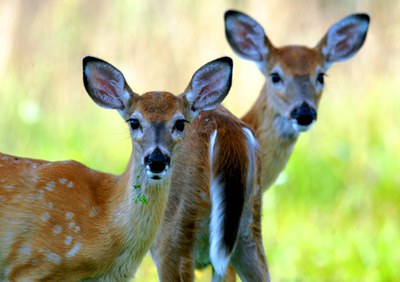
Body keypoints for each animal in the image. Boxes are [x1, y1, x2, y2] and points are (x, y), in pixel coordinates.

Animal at [152, 8, 370, 282]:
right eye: (275, 75)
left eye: (320, 75)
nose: (304, 113)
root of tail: (225, 132)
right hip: (244, 231)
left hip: (174, 236)